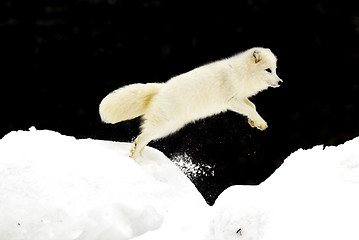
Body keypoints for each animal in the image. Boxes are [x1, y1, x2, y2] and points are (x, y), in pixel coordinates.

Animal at [99, 47, 284, 159]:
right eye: (268, 70)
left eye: (275, 69)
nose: (280, 82)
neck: (241, 73)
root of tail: (161, 88)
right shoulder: (230, 101)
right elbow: (251, 109)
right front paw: (259, 122)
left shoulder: (240, 98)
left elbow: (252, 107)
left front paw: (255, 122)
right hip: (164, 125)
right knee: (140, 138)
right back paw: (134, 156)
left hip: (166, 127)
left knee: (143, 139)